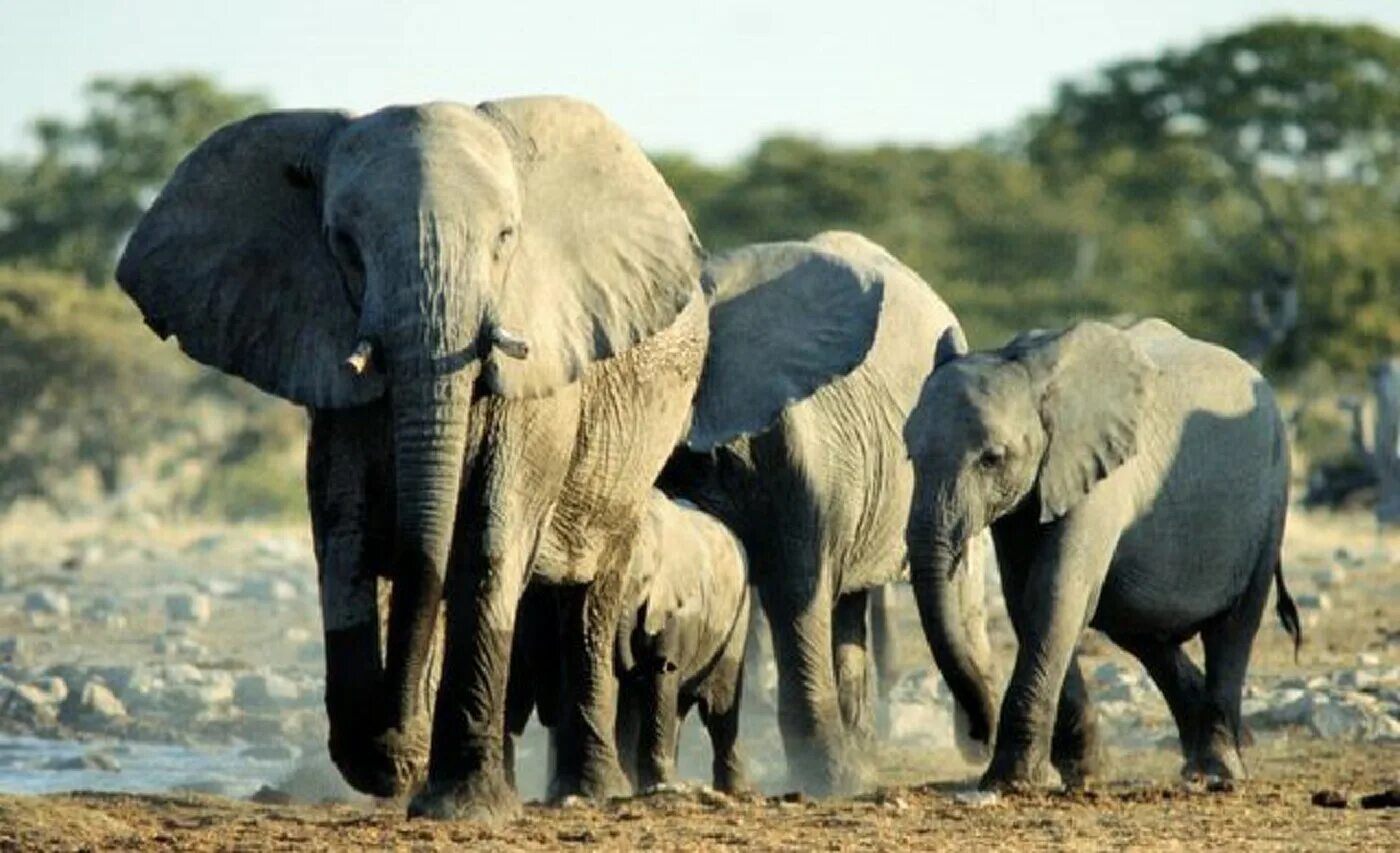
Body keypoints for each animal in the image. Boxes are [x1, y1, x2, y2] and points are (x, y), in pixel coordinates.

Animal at [117, 94, 711, 817]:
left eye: (505, 238)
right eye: (344, 245)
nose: (397, 747)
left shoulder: (542, 373)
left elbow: (486, 544)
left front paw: (458, 803)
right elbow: (342, 534)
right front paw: (389, 763)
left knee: (588, 604)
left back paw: (584, 792)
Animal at [907, 316, 1299, 789]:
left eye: (991, 458)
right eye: (908, 454)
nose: (978, 733)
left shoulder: (1101, 474)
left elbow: (1055, 592)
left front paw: (1014, 782)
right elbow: (1026, 599)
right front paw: (1081, 776)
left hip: (1273, 496)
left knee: (1234, 626)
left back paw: (1219, 770)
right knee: (1142, 631)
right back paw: (1211, 757)